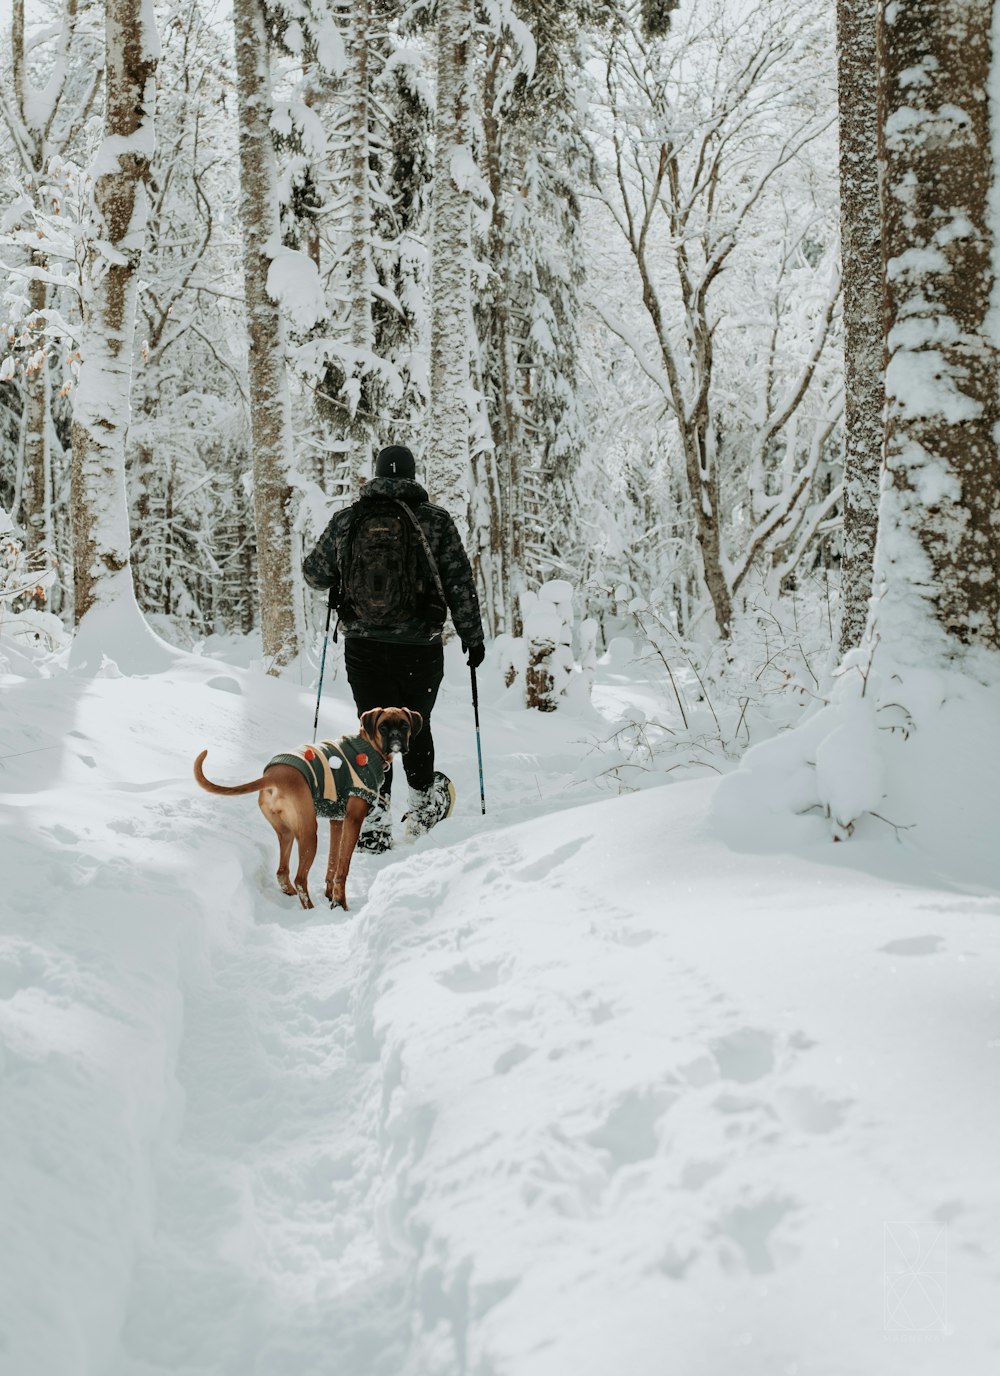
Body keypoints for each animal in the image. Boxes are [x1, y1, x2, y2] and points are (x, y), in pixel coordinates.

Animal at [193, 710, 420, 913]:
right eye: (383, 727)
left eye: (404, 726)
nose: (396, 736)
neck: (367, 747)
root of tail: (272, 777)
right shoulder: (353, 821)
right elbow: (342, 867)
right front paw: (340, 904)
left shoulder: (337, 821)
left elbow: (332, 863)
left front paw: (330, 895)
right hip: (310, 833)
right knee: (300, 879)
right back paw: (310, 908)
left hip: (287, 833)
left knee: (282, 872)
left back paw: (291, 894)